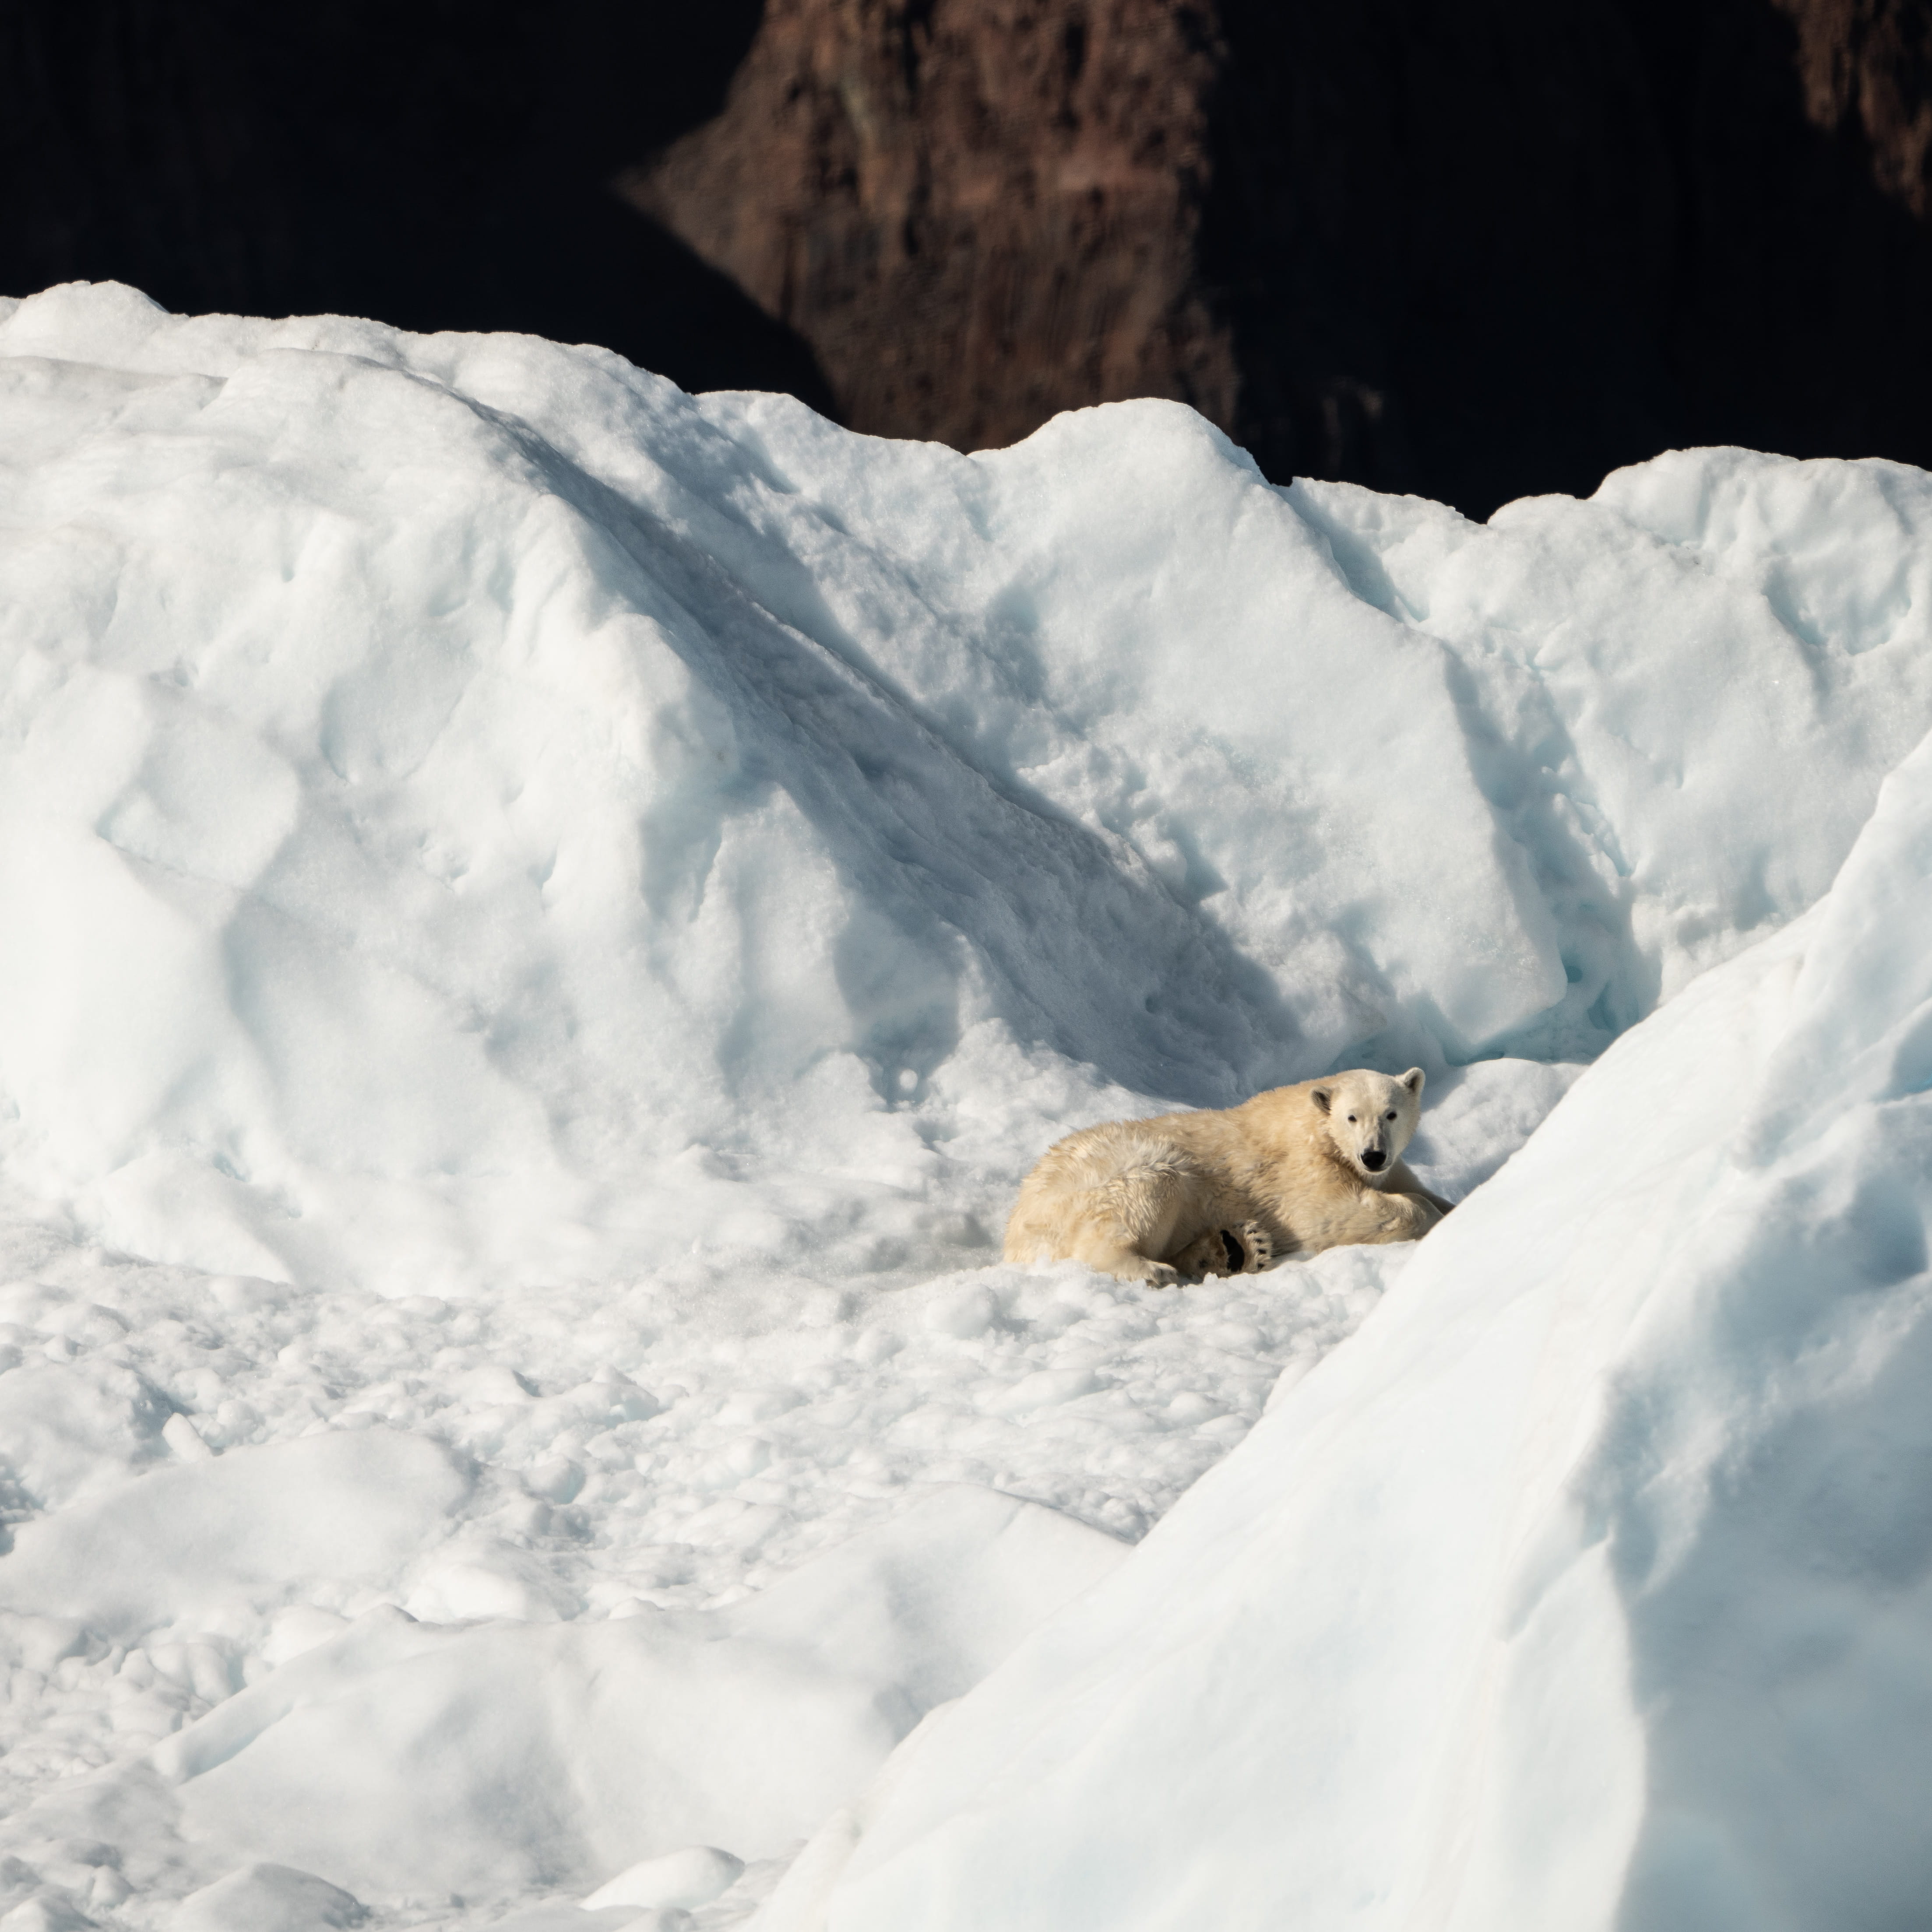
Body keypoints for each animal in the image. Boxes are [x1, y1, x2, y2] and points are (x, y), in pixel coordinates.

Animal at [1002, 1068, 1453, 1286]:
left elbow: (1417, 1190)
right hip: (1101, 1180)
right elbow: (1330, 1213)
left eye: (1391, 1114)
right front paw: (1427, 1217)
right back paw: (1153, 1269)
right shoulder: (1299, 1170)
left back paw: (1235, 1248)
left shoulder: (1391, 1169)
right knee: (1139, 1198)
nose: (1373, 1155)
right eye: (1351, 1117)